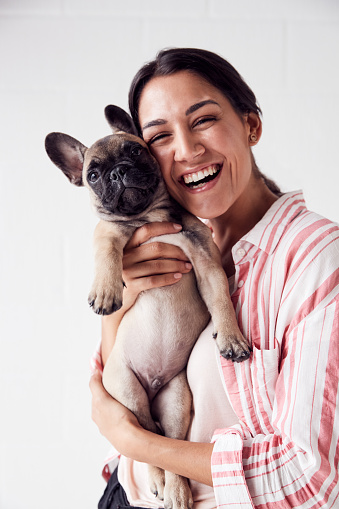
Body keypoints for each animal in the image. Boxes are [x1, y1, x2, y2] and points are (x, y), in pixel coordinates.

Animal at [45, 106, 251, 508]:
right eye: (93, 175)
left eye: (137, 151)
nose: (117, 172)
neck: (152, 216)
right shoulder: (108, 232)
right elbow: (106, 250)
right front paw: (106, 290)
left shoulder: (206, 262)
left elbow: (220, 298)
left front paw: (230, 338)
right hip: (127, 391)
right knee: (144, 440)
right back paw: (161, 483)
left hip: (176, 400)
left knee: (165, 443)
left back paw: (177, 490)